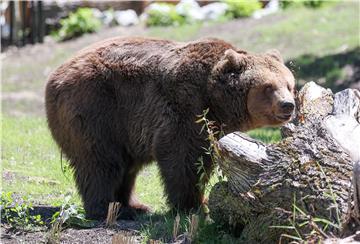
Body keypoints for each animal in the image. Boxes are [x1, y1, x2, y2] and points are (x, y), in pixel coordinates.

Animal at [44, 36, 296, 219]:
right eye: (268, 87)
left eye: (289, 84)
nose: (288, 105)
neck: (216, 99)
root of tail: (54, 76)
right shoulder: (186, 106)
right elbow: (182, 157)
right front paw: (193, 205)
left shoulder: (210, 126)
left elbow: (202, 158)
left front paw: (200, 201)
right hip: (96, 107)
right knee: (101, 161)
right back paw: (108, 208)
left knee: (127, 167)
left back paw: (133, 206)